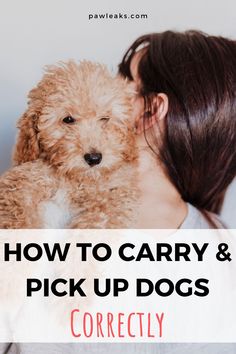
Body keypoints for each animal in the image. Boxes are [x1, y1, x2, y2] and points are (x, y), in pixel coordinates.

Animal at [0, 61, 138, 228]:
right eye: (68, 119)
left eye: (105, 118)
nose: (94, 158)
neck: (73, 180)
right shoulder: (22, 182)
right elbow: (18, 212)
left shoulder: (113, 194)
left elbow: (100, 218)